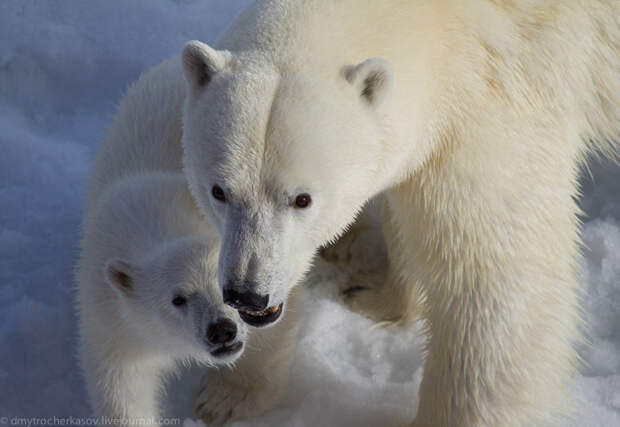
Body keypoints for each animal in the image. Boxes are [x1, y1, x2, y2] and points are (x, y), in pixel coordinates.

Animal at [182, 1, 616, 426]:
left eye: (302, 199)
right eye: (219, 191)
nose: (247, 294)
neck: (438, 30)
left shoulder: (499, 105)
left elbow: (490, 276)